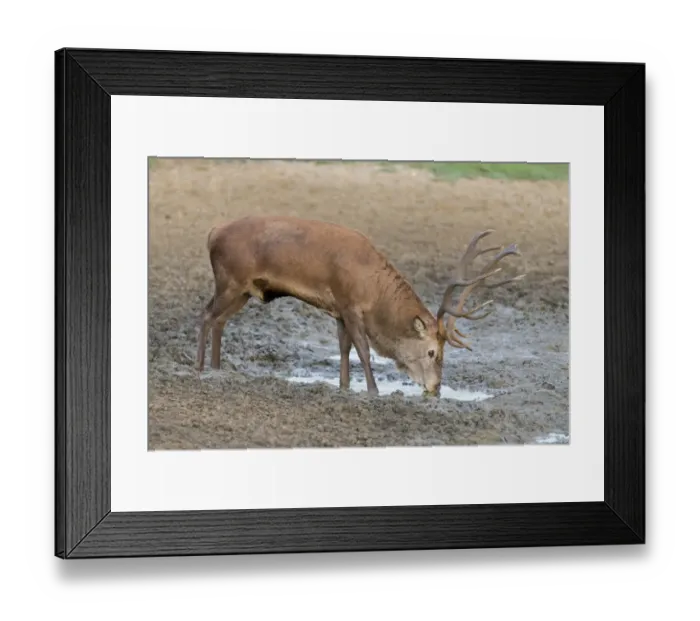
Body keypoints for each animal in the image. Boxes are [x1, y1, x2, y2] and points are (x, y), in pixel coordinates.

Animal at [195, 215, 525, 398]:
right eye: (433, 352)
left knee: (217, 318)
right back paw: (201, 369)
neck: (372, 288)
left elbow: (344, 348)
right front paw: (373, 390)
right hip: (230, 280)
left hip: (242, 290)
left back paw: (214, 368)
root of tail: (211, 234)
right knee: (207, 314)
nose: (436, 388)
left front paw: (344, 386)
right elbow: (364, 350)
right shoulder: (350, 303)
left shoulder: (339, 309)